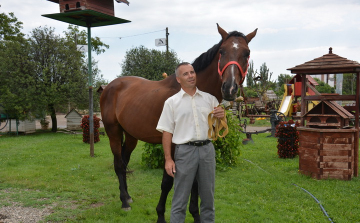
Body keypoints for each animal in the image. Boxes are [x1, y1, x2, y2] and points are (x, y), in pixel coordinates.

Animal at [100, 23, 258, 222]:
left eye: (247, 53)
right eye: (222, 51)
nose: (229, 88)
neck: (191, 92)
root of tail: (110, 86)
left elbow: (195, 183)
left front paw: (195, 215)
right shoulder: (173, 146)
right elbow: (167, 181)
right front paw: (160, 214)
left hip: (130, 135)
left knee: (124, 160)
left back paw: (128, 197)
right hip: (113, 131)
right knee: (119, 165)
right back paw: (124, 203)